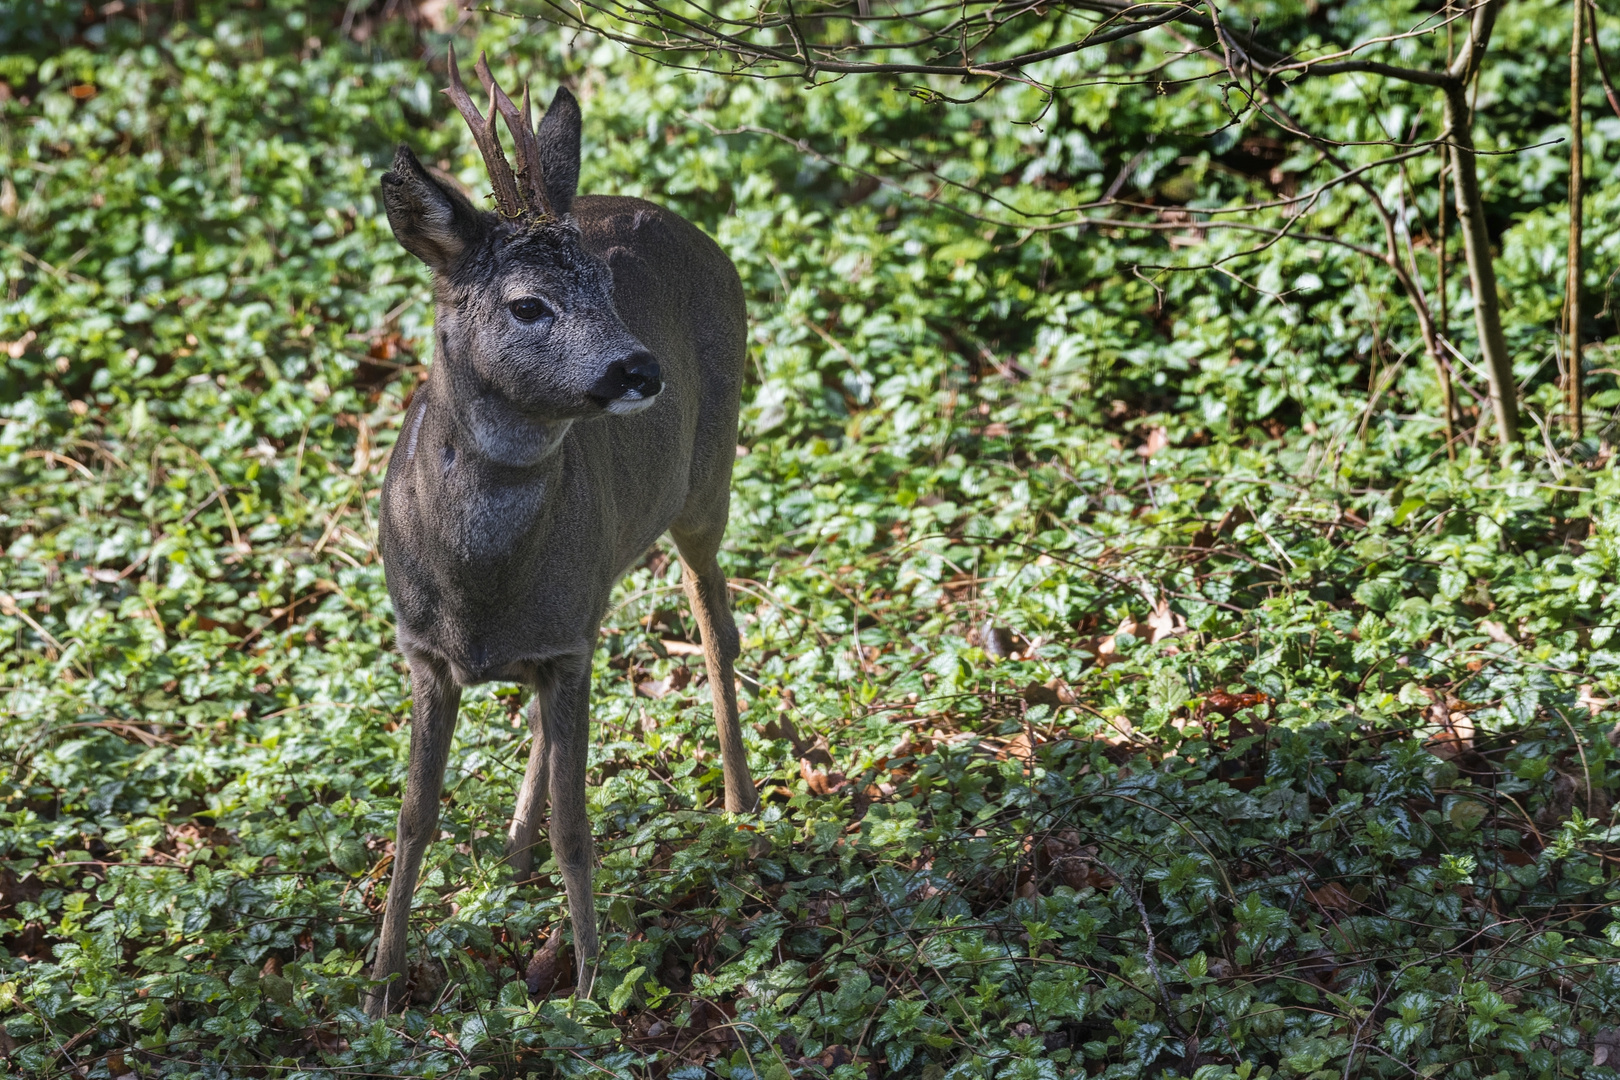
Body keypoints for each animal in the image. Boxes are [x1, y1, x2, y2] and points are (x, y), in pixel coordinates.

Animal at [370, 48, 761, 1016]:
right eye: (526, 306)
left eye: (605, 286)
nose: (640, 368)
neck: (480, 589)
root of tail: (687, 225)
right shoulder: (426, 652)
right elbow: (413, 817)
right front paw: (381, 986)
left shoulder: (561, 646)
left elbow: (579, 830)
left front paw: (588, 987)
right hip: (604, 574)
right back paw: (512, 851)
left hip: (708, 477)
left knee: (715, 620)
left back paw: (741, 802)